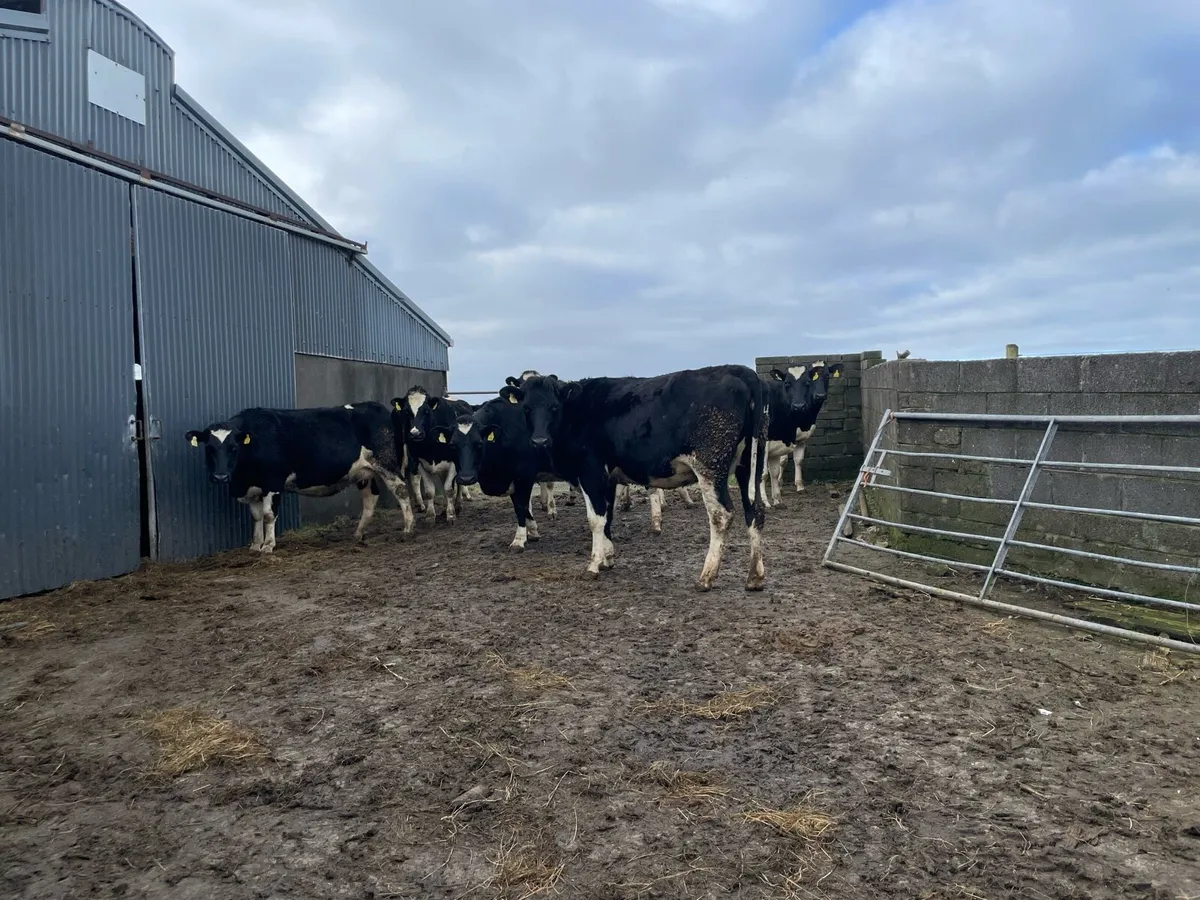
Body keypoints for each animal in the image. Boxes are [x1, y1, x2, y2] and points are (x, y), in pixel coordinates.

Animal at [185, 402, 414, 552]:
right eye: (209, 449)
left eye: (233, 447)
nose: (220, 476)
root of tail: (376, 405)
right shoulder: (253, 489)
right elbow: (256, 517)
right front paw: (255, 545)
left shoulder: (273, 482)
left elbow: (268, 515)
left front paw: (268, 546)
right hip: (364, 472)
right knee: (370, 498)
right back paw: (358, 533)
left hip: (386, 463)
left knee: (401, 490)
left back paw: (408, 527)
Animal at [392, 386, 473, 524]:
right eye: (407, 411)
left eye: (426, 411)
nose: (415, 433)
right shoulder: (419, 462)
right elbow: (430, 491)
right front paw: (430, 516)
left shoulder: (453, 461)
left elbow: (449, 489)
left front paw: (451, 515)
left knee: (458, 483)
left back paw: (458, 505)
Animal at [443, 394, 570, 551]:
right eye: (453, 445)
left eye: (479, 443)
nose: (467, 478)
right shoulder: (511, 479)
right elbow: (521, 507)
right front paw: (532, 531)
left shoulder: (524, 477)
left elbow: (521, 506)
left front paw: (519, 539)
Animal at [507, 366, 769, 591]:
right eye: (526, 408)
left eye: (553, 407)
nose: (539, 441)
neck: (576, 411)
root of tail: (740, 370)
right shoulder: (608, 478)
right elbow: (608, 516)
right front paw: (608, 558)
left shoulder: (590, 472)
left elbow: (595, 520)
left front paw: (594, 564)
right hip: (749, 465)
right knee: (755, 511)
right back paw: (754, 578)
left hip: (710, 467)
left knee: (721, 516)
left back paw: (706, 577)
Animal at [761, 361, 843, 505]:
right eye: (787, 383)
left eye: (827, 376)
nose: (820, 395)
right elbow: (782, 461)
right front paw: (780, 486)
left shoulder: (801, 438)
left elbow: (798, 460)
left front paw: (799, 486)